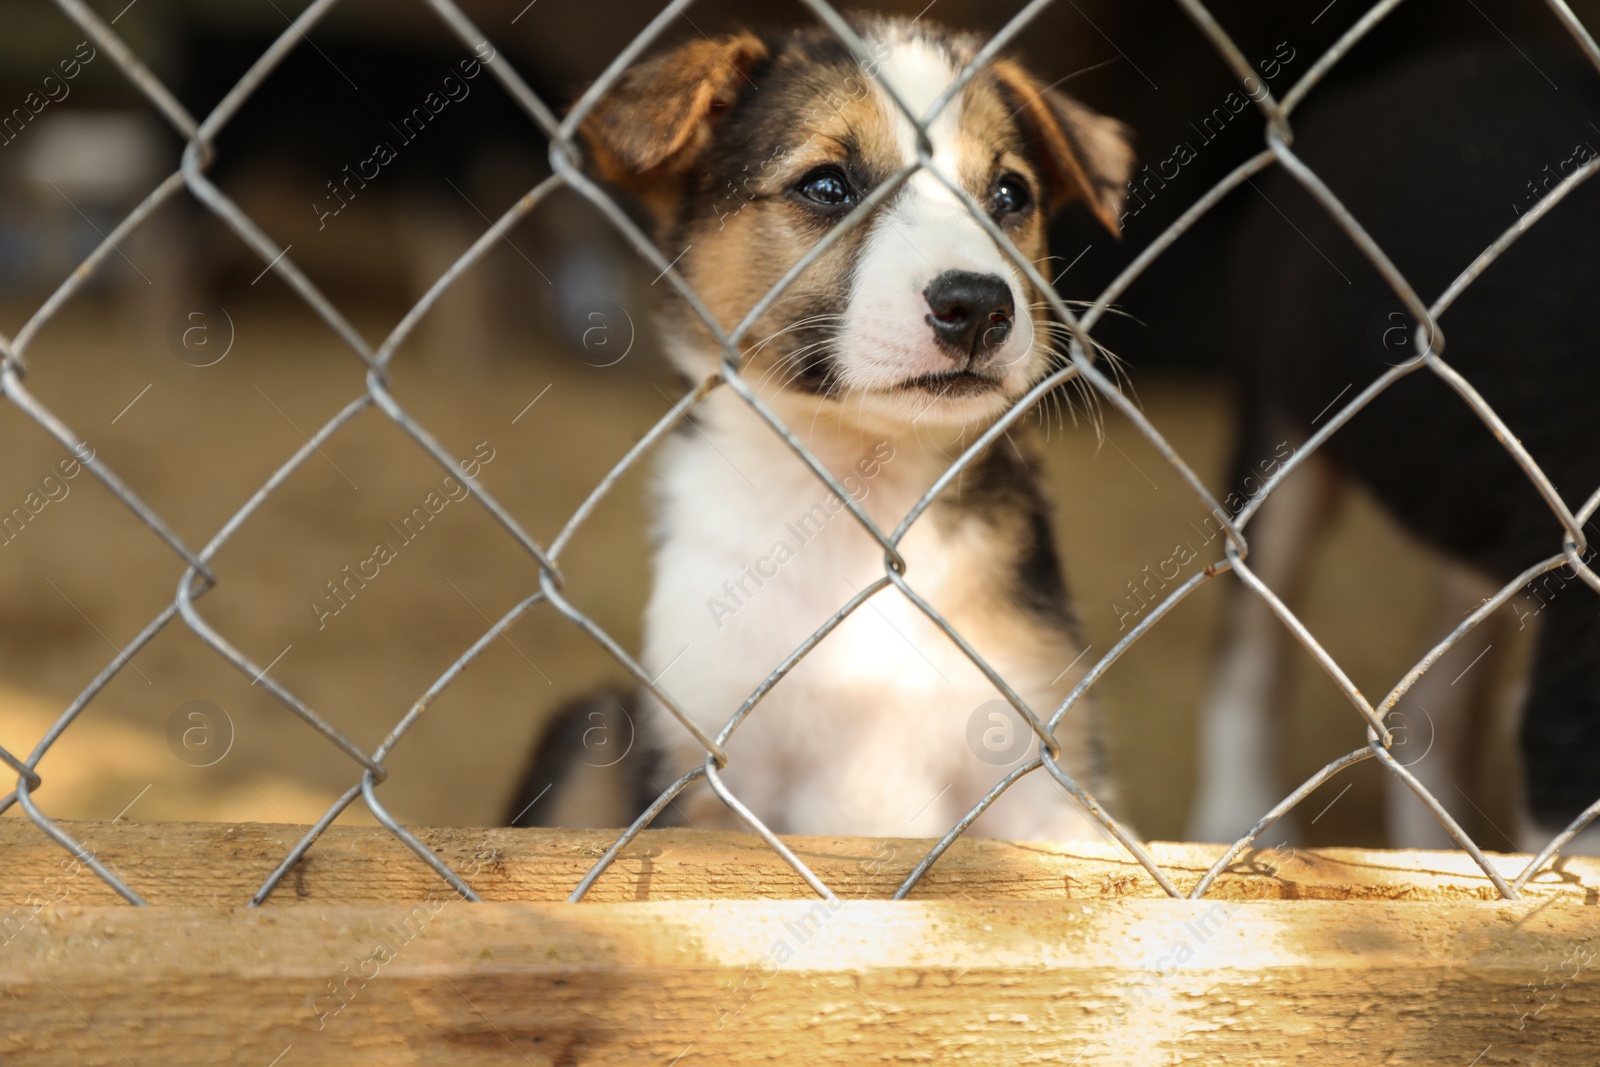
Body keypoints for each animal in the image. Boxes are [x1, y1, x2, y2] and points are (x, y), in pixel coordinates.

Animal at [505, 12, 1132, 838]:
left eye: (1009, 194)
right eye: (827, 186)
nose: (978, 306)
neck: (861, 495)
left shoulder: (1043, 776)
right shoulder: (702, 775)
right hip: (594, 727)